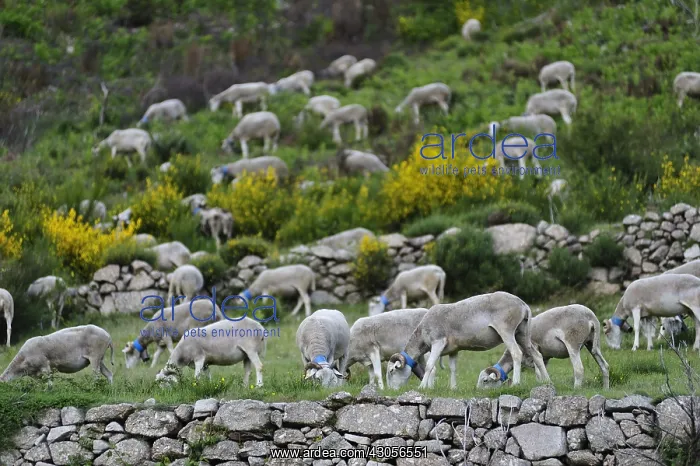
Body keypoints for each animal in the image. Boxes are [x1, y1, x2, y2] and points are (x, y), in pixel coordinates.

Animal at [385, 291, 550, 390]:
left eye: (392, 371)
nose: (392, 391)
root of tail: (523, 305)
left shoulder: (438, 342)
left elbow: (430, 366)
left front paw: (422, 388)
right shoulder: (453, 350)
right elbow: (453, 368)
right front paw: (453, 388)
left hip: (507, 331)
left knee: (516, 354)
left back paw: (516, 383)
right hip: (522, 333)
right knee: (536, 355)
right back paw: (546, 381)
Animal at [477, 304, 609, 390]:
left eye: (485, 381)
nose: (478, 392)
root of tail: (591, 317)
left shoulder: (534, 352)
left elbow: (538, 373)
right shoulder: (545, 358)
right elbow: (541, 373)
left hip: (573, 343)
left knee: (579, 368)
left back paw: (576, 389)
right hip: (592, 343)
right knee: (604, 366)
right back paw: (605, 389)